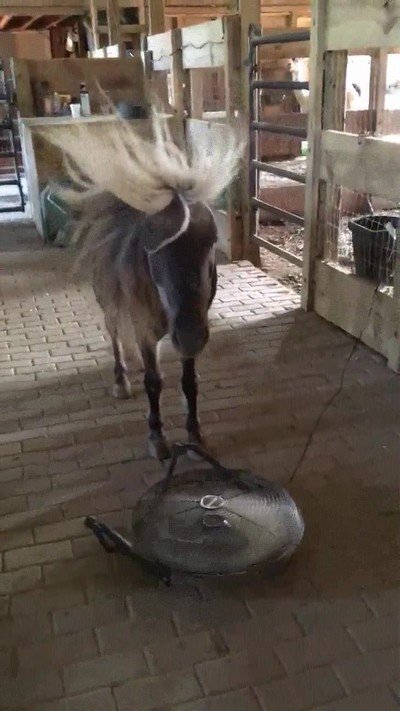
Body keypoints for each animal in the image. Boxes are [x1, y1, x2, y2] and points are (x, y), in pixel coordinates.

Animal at [41, 110, 243, 460]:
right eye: (152, 246)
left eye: (211, 240)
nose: (190, 335)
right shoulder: (146, 330)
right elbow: (154, 381)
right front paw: (157, 437)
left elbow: (189, 381)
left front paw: (194, 432)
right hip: (108, 303)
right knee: (115, 337)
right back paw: (122, 380)